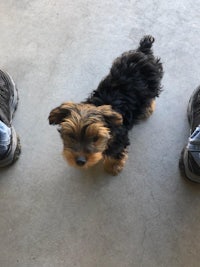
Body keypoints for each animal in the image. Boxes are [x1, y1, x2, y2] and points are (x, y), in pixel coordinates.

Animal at [49, 35, 163, 176]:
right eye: (71, 136)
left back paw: (147, 109)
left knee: (150, 97)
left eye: (95, 138)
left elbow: (115, 153)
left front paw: (113, 166)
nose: (80, 161)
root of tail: (143, 51)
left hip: (152, 84)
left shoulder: (119, 140)